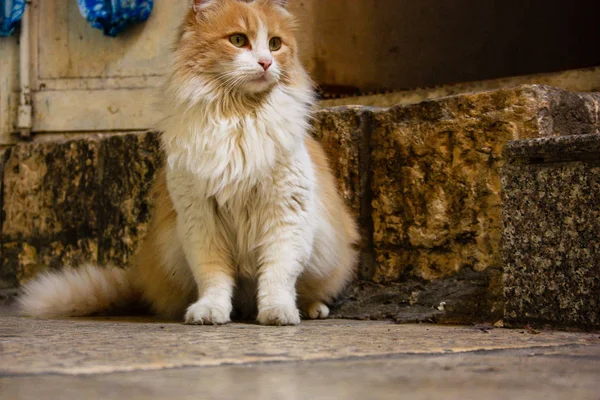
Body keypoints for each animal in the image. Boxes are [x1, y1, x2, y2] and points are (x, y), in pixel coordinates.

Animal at [18, 0, 358, 324]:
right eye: (238, 40)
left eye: (275, 44)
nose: (266, 63)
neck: (239, 115)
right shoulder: (201, 219)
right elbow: (214, 277)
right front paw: (210, 311)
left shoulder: (286, 215)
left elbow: (278, 276)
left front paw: (278, 313)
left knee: (307, 289)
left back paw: (311, 309)